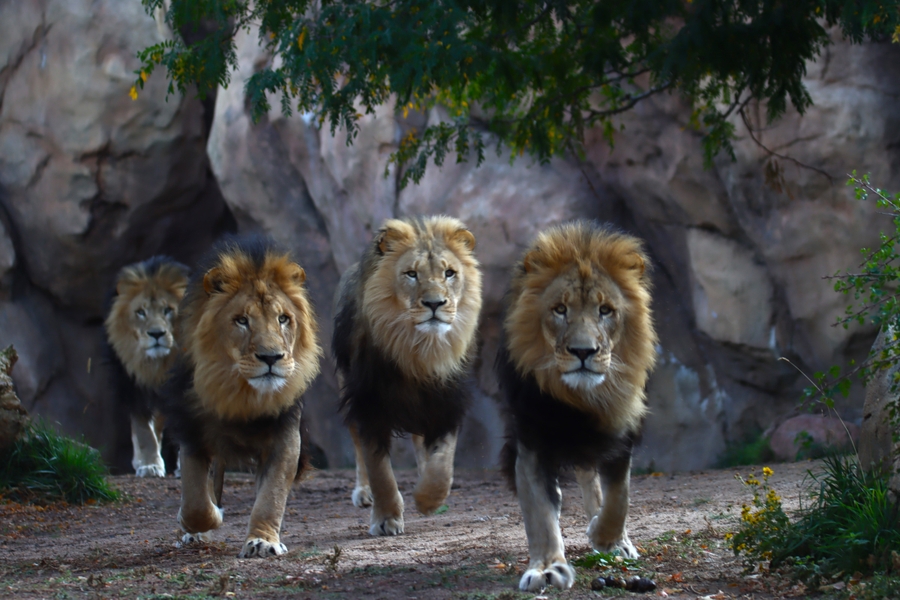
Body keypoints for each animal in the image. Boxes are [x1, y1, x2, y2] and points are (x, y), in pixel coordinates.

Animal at [105, 256, 189, 477]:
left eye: (168, 310)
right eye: (140, 312)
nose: (156, 334)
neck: (158, 364)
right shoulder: (133, 385)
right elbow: (143, 430)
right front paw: (150, 465)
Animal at [160, 236, 322, 558]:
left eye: (283, 319)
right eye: (242, 321)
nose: (271, 357)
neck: (243, 395)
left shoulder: (285, 436)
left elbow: (271, 496)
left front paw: (263, 541)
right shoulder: (193, 432)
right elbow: (196, 501)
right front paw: (198, 522)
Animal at [333, 215, 482, 536]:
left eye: (449, 273)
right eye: (411, 274)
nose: (435, 304)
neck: (418, 351)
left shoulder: (447, 401)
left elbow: (443, 461)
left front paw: (429, 498)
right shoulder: (367, 403)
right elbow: (379, 470)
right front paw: (386, 518)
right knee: (358, 448)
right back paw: (363, 493)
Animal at [496, 221, 657, 591]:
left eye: (605, 310)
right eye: (560, 309)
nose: (583, 352)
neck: (581, 399)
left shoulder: (621, 433)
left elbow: (619, 497)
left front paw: (607, 537)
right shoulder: (532, 441)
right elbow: (541, 513)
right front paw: (546, 568)